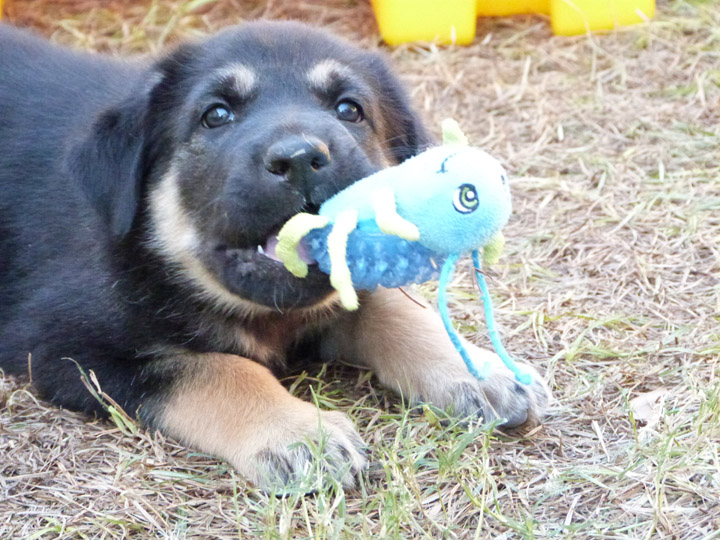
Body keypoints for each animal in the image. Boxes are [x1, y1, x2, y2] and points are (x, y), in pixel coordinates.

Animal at [0, 21, 548, 490]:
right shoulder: (61, 346)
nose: (301, 159)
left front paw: (478, 368)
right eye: (216, 115)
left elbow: (392, 307)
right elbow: (218, 369)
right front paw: (300, 433)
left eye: (349, 109)